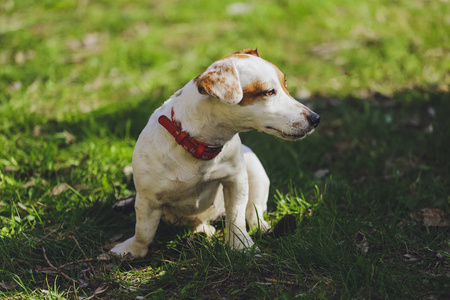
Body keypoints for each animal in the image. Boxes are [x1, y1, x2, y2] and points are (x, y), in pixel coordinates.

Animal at [110, 48, 320, 258]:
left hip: (255, 169)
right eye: (268, 92)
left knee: (254, 212)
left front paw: (240, 246)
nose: (315, 118)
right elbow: (143, 231)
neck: (199, 144)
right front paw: (133, 250)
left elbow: (236, 217)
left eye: (286, 85)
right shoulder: (148, 198)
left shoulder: (236, 181)